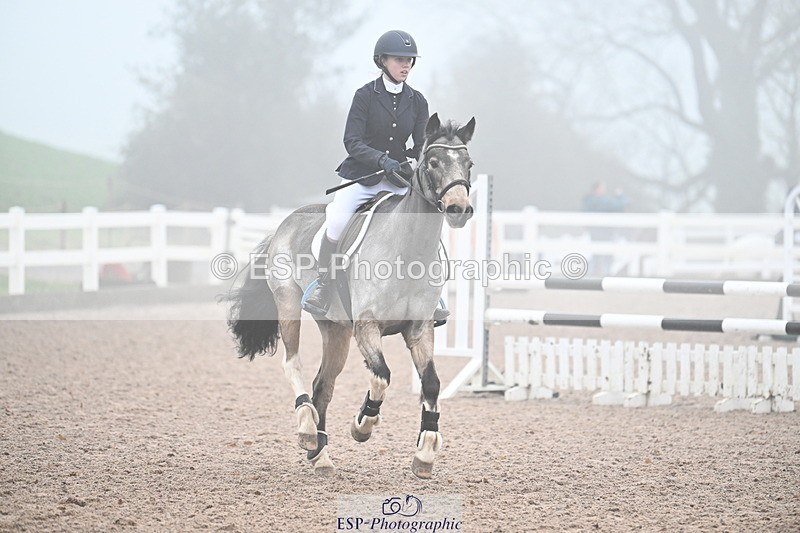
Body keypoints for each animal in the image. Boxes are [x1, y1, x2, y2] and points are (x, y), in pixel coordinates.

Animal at [224, 113, 476, 478]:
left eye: (469, 165)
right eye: (433, 162)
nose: (459, 209)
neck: (408, 250)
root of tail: (285, 222)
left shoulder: (419, 328)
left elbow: (431, 383)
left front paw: (426, 453)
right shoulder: (367, 326)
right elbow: (382, 375)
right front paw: (363, 425)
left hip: (336, 329)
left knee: (323, 385)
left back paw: (320, 454)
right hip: (288, 304)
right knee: (293, 363)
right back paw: (306, 430)